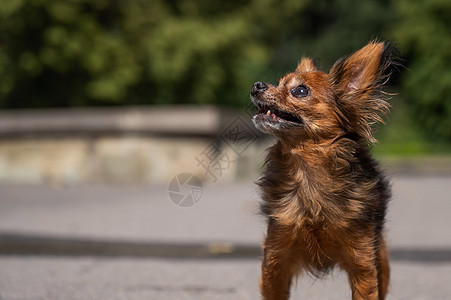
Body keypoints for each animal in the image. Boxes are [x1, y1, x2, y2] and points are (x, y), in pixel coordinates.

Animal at [252, 42, 398, 300]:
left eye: (300, 91)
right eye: (278, 83)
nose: (257, 84)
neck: (308, 173)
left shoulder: (363, 263)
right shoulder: (275, 260)